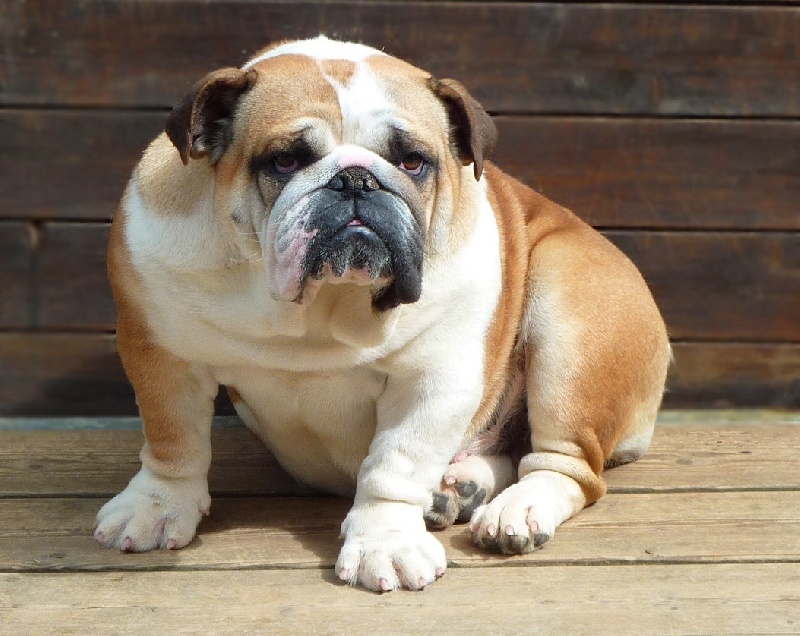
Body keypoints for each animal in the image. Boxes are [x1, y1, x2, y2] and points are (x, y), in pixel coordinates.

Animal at [95, 36, 670, 592]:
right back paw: (461, 489)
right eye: (284, 161)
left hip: (570, 315)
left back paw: (516, 511)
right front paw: (155, 507)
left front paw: (385, 544)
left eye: (413, 162)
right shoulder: (161, 351)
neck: (322, 308)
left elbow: (394, 465)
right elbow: (174, 441)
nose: (355, 180)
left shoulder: (434, 379)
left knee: (568, 466)